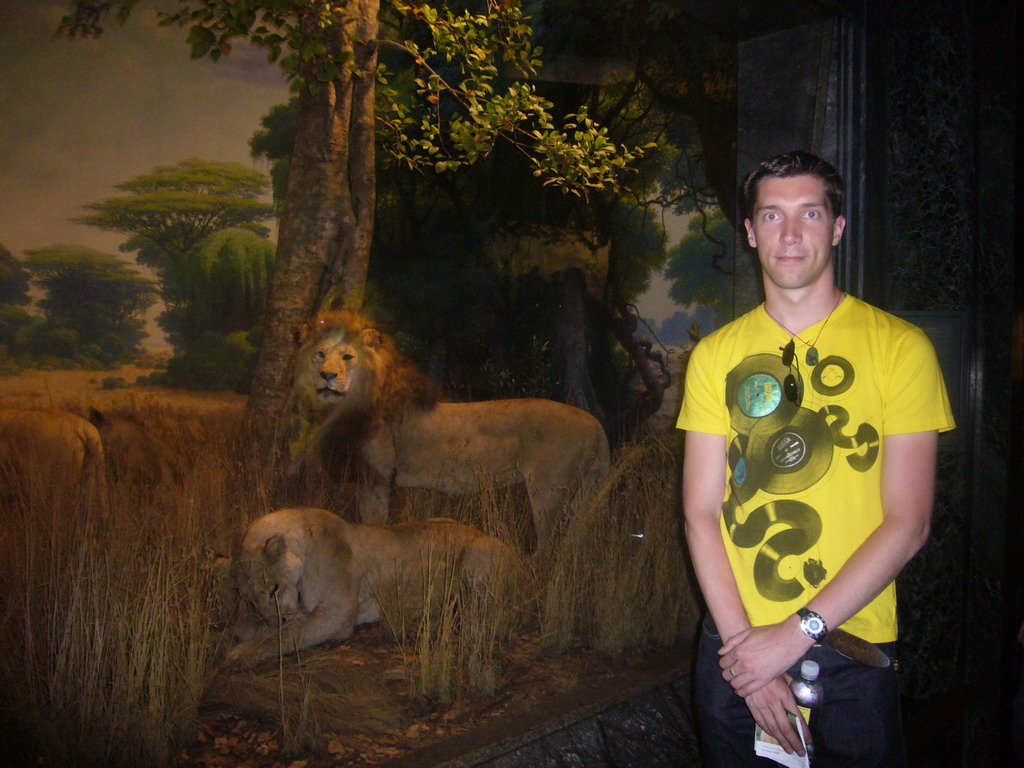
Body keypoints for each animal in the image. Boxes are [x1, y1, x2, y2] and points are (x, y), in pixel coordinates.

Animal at [282, 309, 606, 548]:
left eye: (348, 357)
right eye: (320, 354)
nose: (326, 375)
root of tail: (596, 424)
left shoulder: (377, 478)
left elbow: (373, 523)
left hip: (547, 490)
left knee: (551, 545)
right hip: (581, 491)